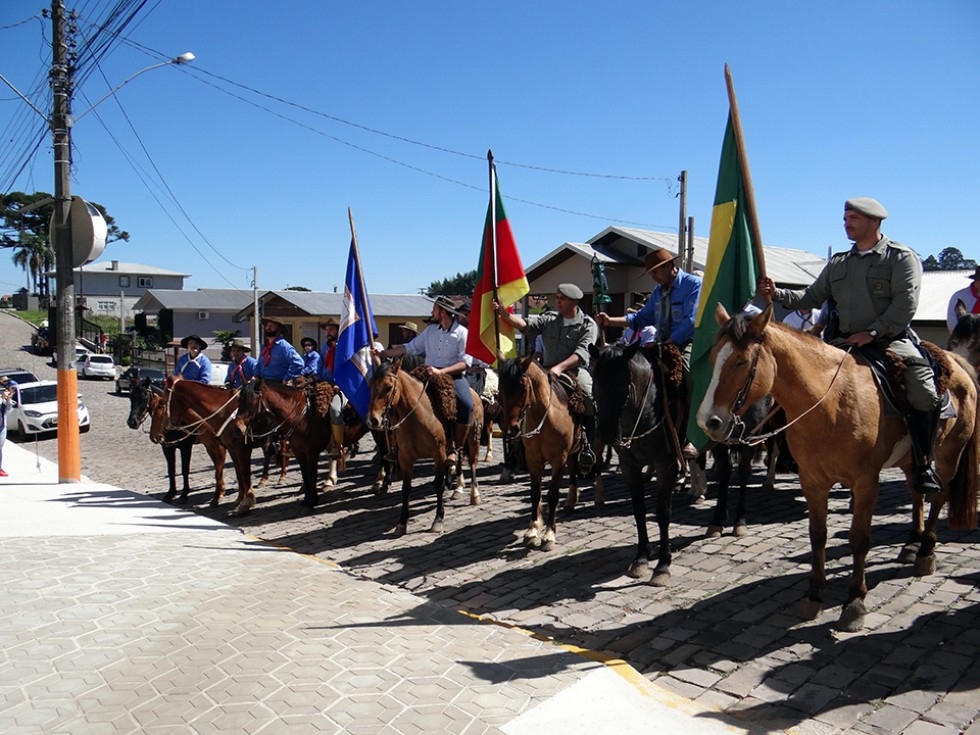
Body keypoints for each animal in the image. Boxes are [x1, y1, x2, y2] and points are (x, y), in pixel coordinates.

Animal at [364, 360, 482, 536]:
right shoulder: (405, 458)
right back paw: (457, 486)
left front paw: (438, 520)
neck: (418, 417)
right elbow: (406, 489)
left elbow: (439, 486)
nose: (373, 420)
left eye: (388, 387)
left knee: (472, 464)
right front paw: (402, 523)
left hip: (473, 439)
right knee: (458, 458)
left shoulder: (438, 454)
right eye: (370, 384)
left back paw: (473, 495)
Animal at [498, 356, 604, 552]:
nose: (511, 429)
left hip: (598, 443)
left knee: (598, 465)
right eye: (501, 388)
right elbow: (535, 492)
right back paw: (570, 501)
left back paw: (599, 499)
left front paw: (548, 534)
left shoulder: (557, 459)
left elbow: (553, 494)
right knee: (573, 471)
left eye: (522, 387)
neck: (545, 417)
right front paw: (532, 530)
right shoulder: (533, 459)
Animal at [696, 304, 980, 632]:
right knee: (917, 494)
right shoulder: (812, 481)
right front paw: (814, 594)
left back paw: (925, 553)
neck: (830, 403)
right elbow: (818, 534)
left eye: (741, 361)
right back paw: (911, 544)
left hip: (948, 455)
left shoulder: (866, 483)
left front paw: (855, 602)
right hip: (913, 461)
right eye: (714, 359)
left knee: (938, 497)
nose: (708, 421)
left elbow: (859, 539)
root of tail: (957, 362)